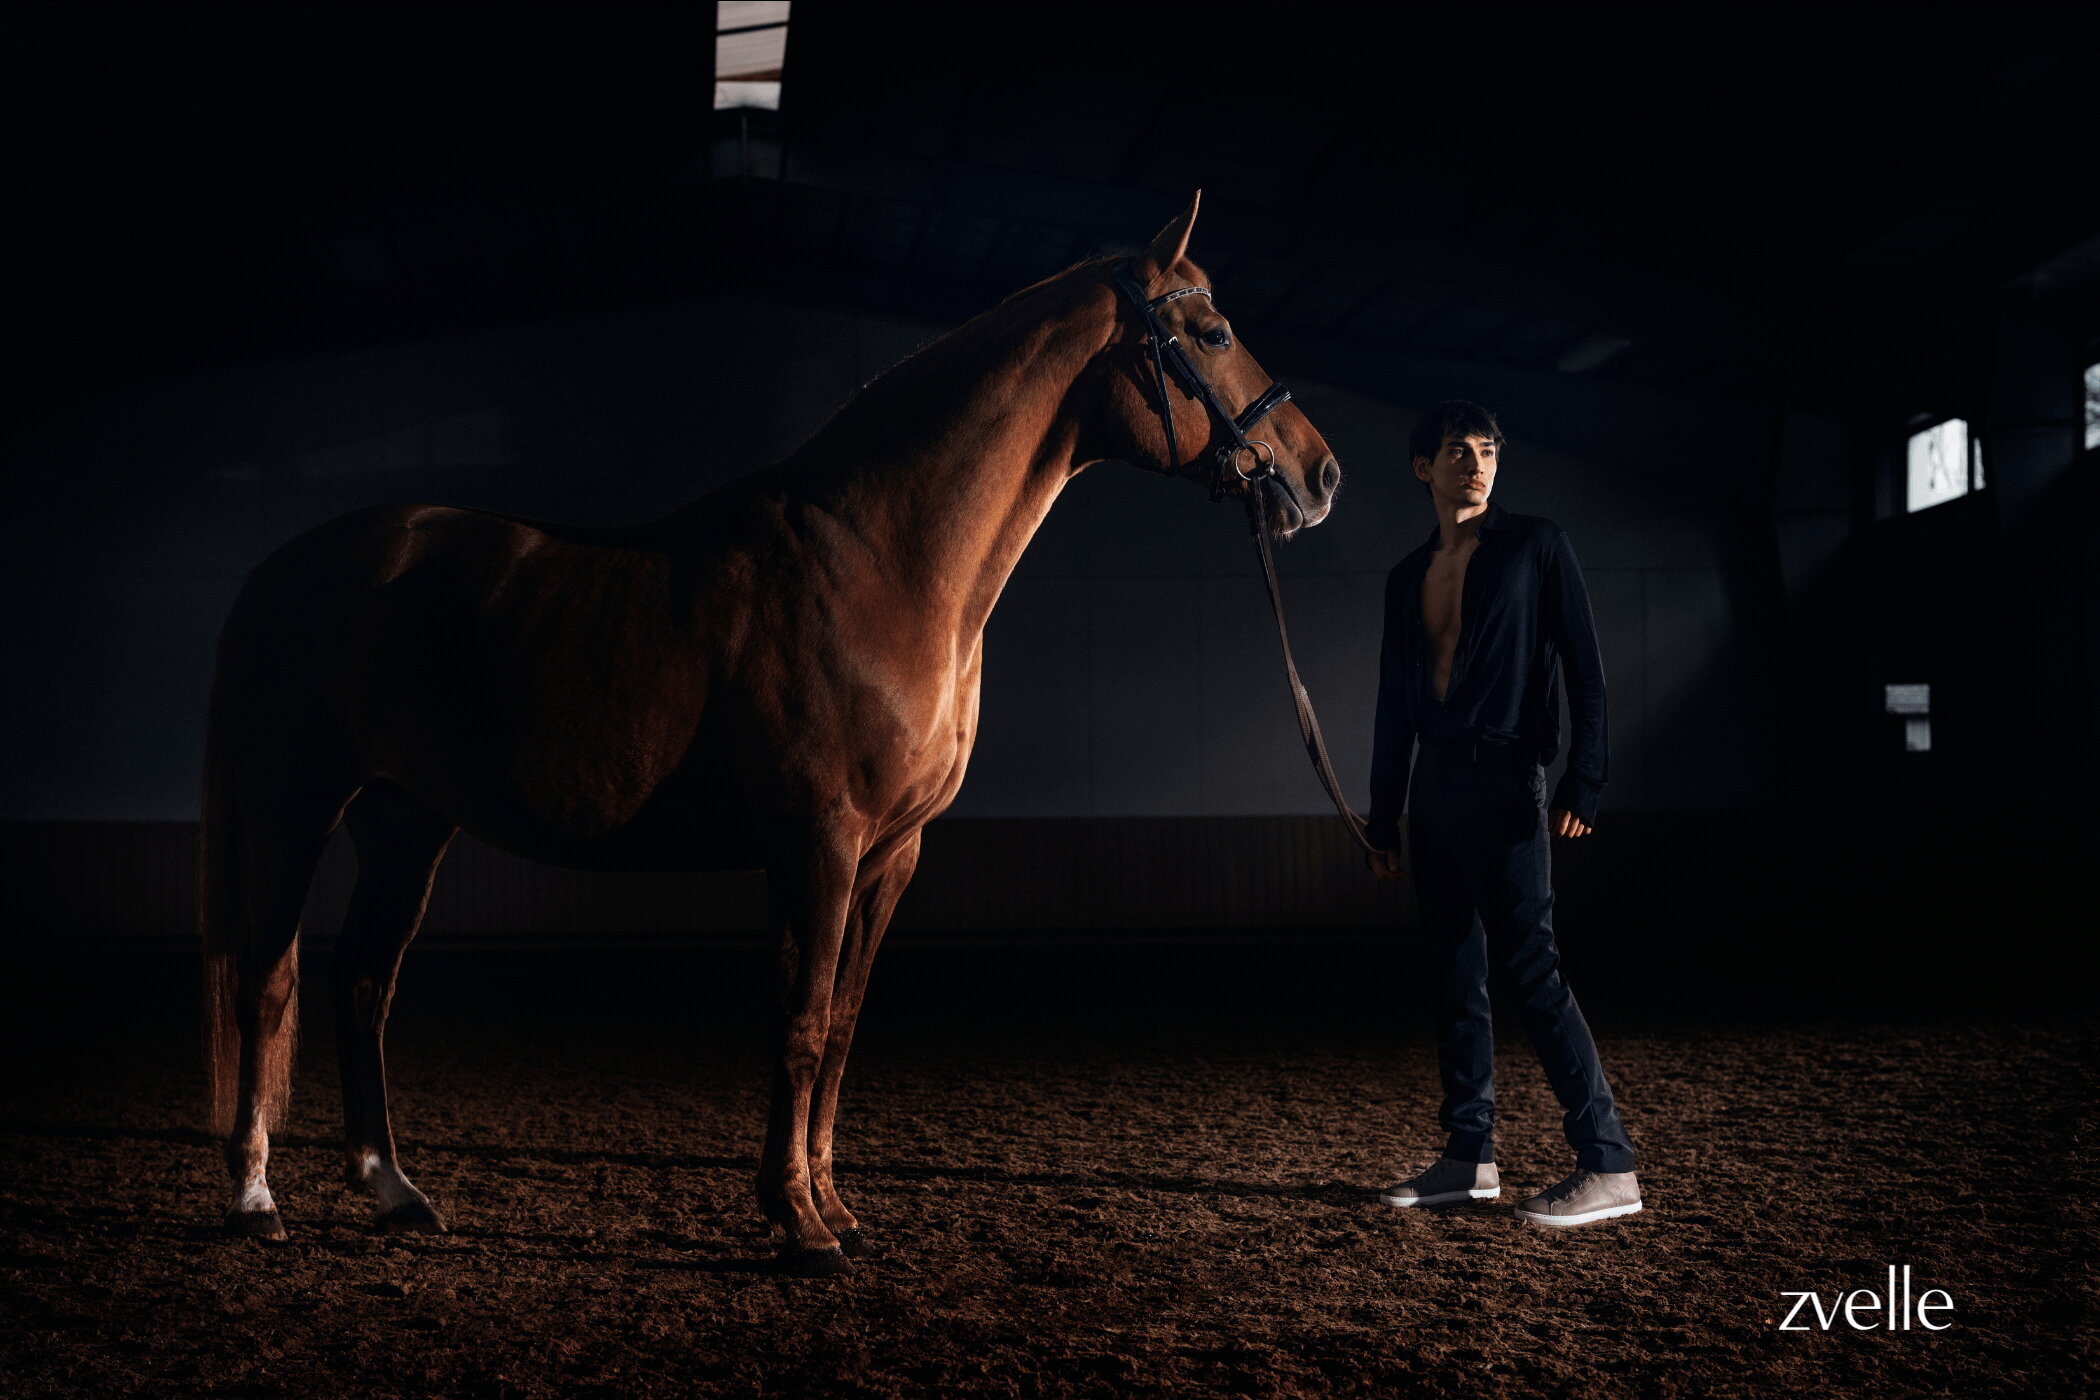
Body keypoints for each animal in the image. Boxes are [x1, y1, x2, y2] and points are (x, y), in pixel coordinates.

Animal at [198, 193, 1342, 1274]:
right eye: (1210, 331)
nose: (1319, 475)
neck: (881, 559)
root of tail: (275, 571)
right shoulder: (817, 842)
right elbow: (796, 1024)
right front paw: (798, 1224)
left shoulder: (891, 852)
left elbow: (839, 1026)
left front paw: (833, 1204)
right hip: (295, 808)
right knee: (268, 978)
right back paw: (255, 1201)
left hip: (406, 820)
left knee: (361, 980)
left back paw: (394, 1190)